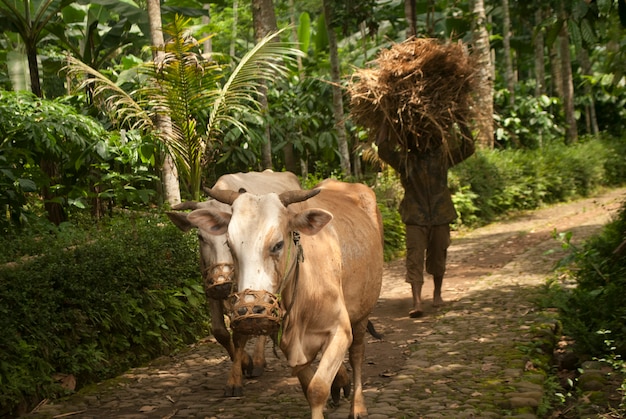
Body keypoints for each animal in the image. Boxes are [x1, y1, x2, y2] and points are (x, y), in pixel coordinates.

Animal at [163, 170, 300, 398]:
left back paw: (259, 360)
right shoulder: (210, 288)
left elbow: (240, 333)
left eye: (227, 241)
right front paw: (243, 362)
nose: (222, 284)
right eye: (200, 236)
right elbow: (220, 331)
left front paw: (238, 375)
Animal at [193, 180, 382, 419]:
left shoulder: (340, 330)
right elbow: (308, 385)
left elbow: (318, 388)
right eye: (229, 244)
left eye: (277, 245)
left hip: (362, 313)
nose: (251, 310)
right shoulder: (287, 341)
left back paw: (358, 406)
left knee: (357, 354)